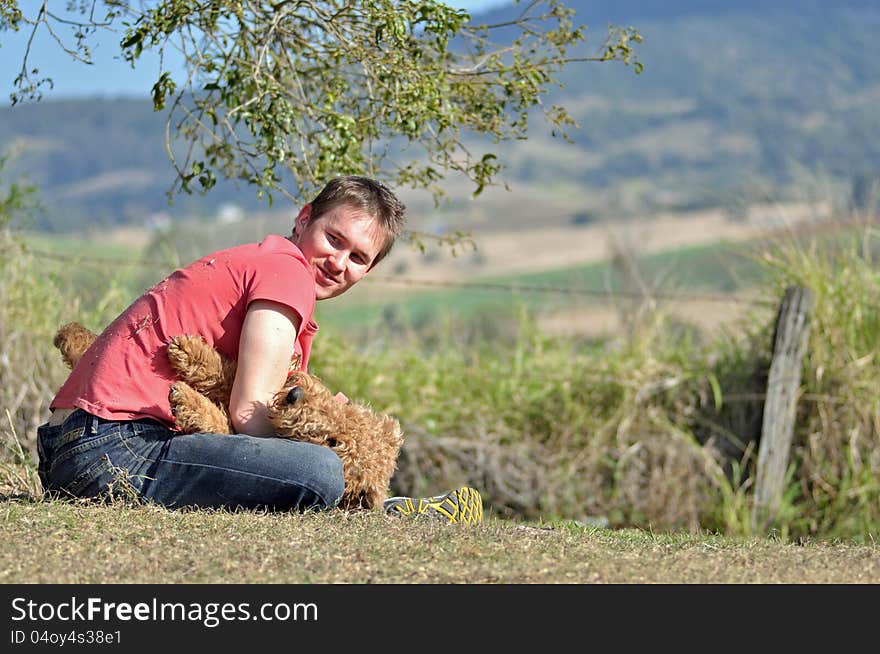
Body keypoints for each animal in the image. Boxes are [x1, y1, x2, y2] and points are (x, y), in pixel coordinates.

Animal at [56, 322, 408, 512]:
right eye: (347, 412)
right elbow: (225, 373)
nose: (294, 395)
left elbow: (219, 420)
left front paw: (187, 400)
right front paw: (190, 352)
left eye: (333, 442)